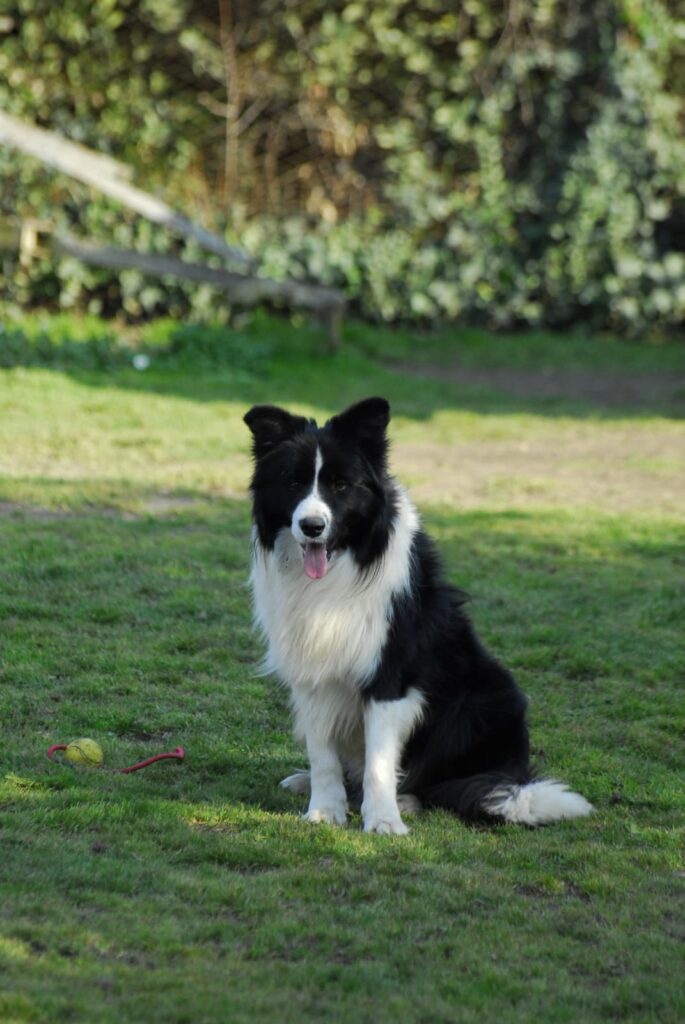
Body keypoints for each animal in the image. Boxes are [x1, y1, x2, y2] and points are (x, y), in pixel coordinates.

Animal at [242, 395, 589, 835]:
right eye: (293, 483)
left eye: (341, 485)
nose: (312, 526)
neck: (340, 567)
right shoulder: (312, 671)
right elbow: (322, 754)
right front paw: (324, 810)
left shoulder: (392, 674)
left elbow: (379, 761)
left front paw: (383, 820)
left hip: (486, 698)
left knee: (445, 785)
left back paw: (409, 800)